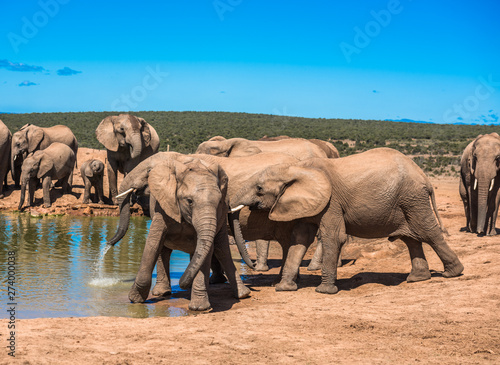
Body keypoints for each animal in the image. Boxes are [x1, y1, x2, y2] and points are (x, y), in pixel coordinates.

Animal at [108, 151, 252, 310]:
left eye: (219, 202)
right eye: (189, 201)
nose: (108, 243)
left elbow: (206, 248)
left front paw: (199, 308)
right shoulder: (162, 203)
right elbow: (153, 242)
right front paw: (135, 299)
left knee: (221, 249)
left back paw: (242, 294)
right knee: (163, 250)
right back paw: (162, 292)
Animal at [232, 146, 462, 292]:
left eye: (259, 189)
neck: (298, 168)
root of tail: (425, 177)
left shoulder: (331, 202)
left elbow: (333, 237)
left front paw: (324, 291)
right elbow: (300, 239)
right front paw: (284, 288)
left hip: (413, 198)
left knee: (428, 233)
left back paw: (453, 274)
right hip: (406, 202)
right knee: (411, 238)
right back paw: (416, 279)